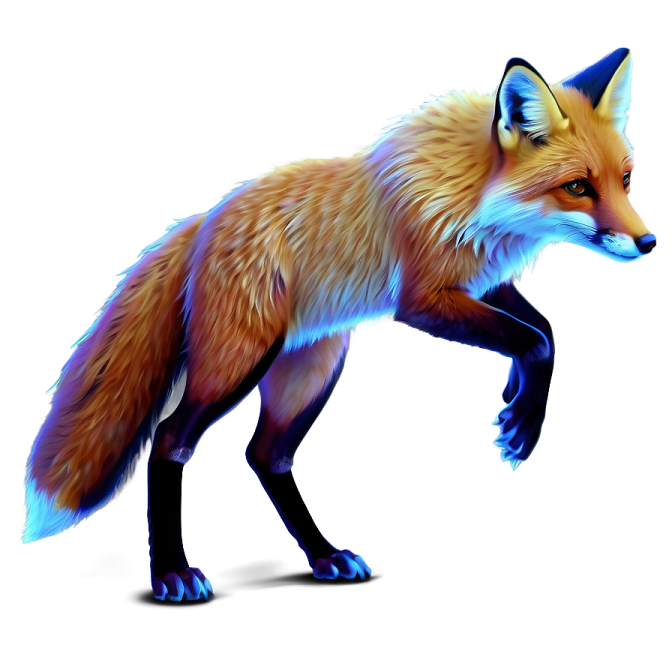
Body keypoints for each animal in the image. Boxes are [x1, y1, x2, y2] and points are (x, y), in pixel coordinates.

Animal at [18, 47, 655, 601]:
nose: (647, 243)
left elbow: (546, 331)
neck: (471, 191)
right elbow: (533, 339)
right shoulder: (424, 299)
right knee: (169, 441)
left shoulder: (480, 282)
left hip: (313, 371)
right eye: (577, 187)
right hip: (238, 362)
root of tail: (206, 220)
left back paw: (324, 557)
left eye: (624, 181)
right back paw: (171, 575)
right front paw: (522, 426)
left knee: (266, 456)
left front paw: (519, 406)